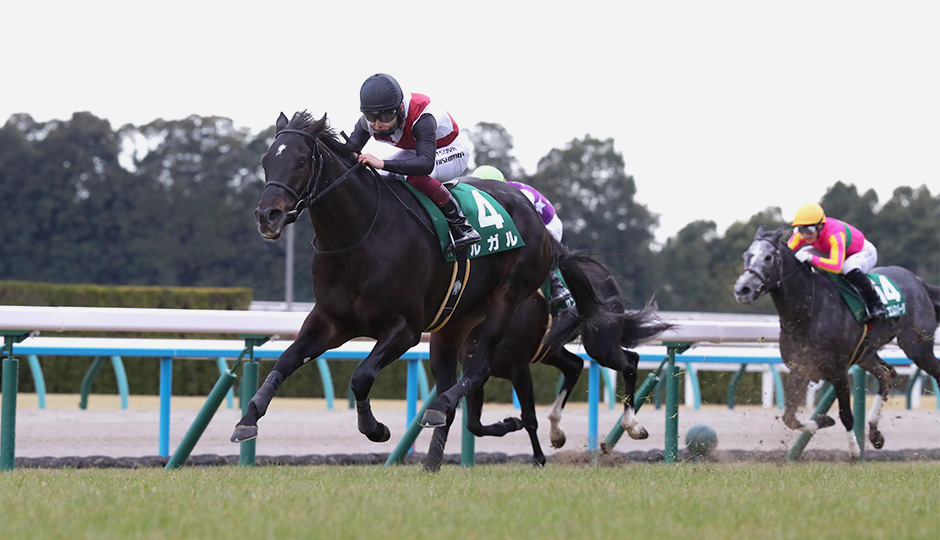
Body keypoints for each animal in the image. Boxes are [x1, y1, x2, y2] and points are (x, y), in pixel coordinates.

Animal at [232, 111, 572, 471]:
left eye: (300, 160)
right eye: (266, 160)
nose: (268, 216)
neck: (361, 234)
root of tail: (530, 210)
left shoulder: (405, 329)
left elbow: (361, 376)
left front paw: (375, 428)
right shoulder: (331, 323)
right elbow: (285, 361)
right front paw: (247, 420)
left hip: (507, 298)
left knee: (478, 370)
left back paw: (450, 409)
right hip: (454, 323)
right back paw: (436, 452)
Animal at [460, 249, 672, 465]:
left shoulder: (518, 367)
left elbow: (529, 417)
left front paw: (539, 459)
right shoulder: (473, 367)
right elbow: (474, 424)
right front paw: (512, 424)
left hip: (601, 345)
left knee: (630, 362)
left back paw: (633, 426)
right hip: (551, 349)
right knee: (575, 365)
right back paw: (557, 432)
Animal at [732, 225, 940, 458]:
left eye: (768, 257)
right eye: (746, 256)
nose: (742, 289)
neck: (809, 310)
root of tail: (918, 282)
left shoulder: (838, 372)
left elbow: (846, 415)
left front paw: (855, 451)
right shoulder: (801, 368)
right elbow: (789, 418)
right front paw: (824, 420)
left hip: (918, 348)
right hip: (866, 354)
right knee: (887, 375)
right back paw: (875, 433)